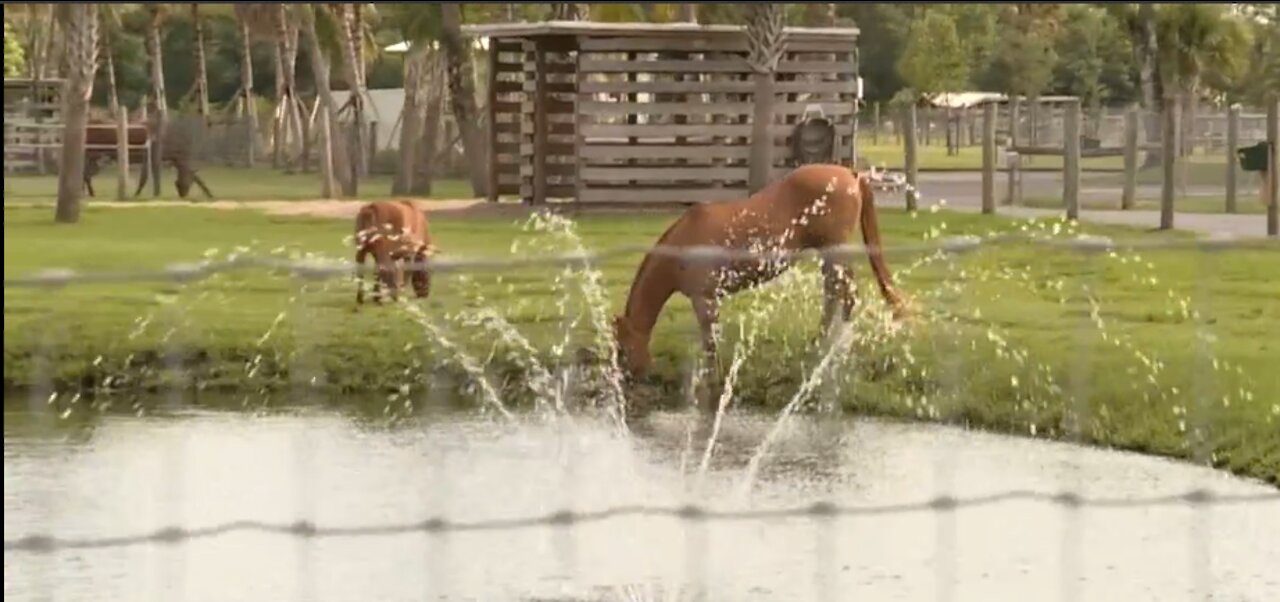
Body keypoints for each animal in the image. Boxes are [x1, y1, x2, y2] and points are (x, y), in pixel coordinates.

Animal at [611, 163, 906, 381]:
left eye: (623, 350)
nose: (629, 378)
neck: (684, 243)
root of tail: (849, 173)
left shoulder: (704, 299)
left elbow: (710, 342)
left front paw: (714, 378)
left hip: (834, 251)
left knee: (844, 294)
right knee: (834, 295)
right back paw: (819, 344)